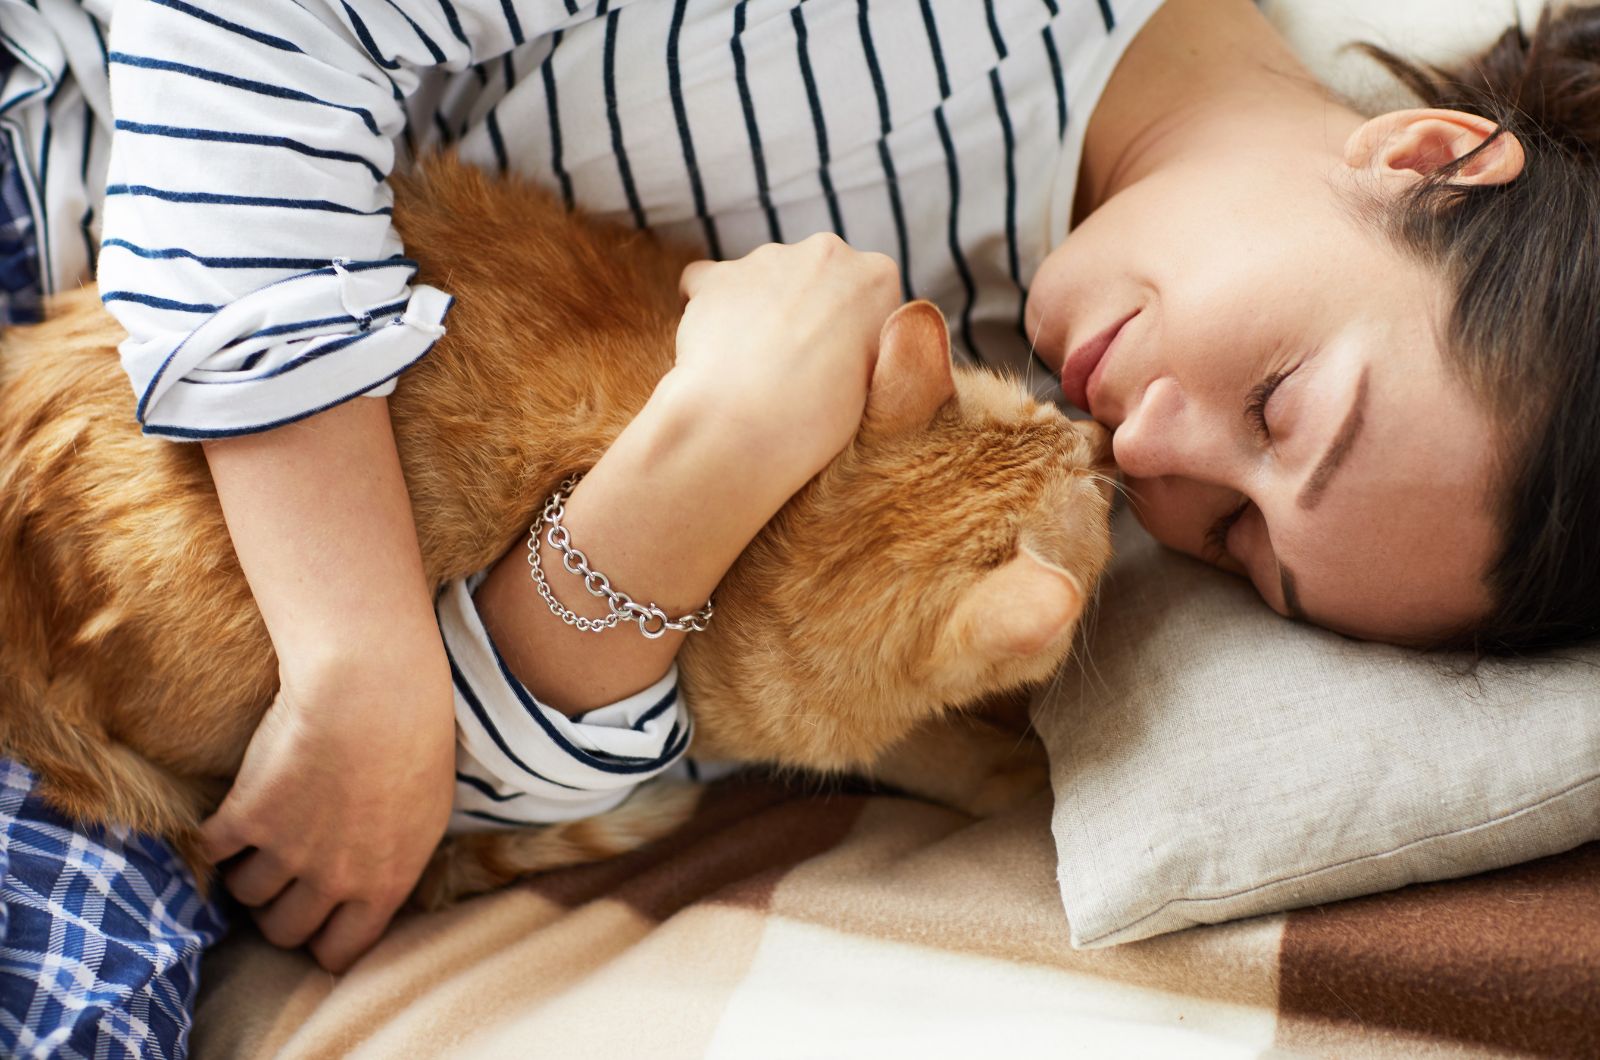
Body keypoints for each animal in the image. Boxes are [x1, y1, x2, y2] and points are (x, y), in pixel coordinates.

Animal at [0, 153, 1113, 909]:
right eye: (1098, 496)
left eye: (1055, 420)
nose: (1100, 434)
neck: (766, 538)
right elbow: (910, 748)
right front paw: (997, 767)